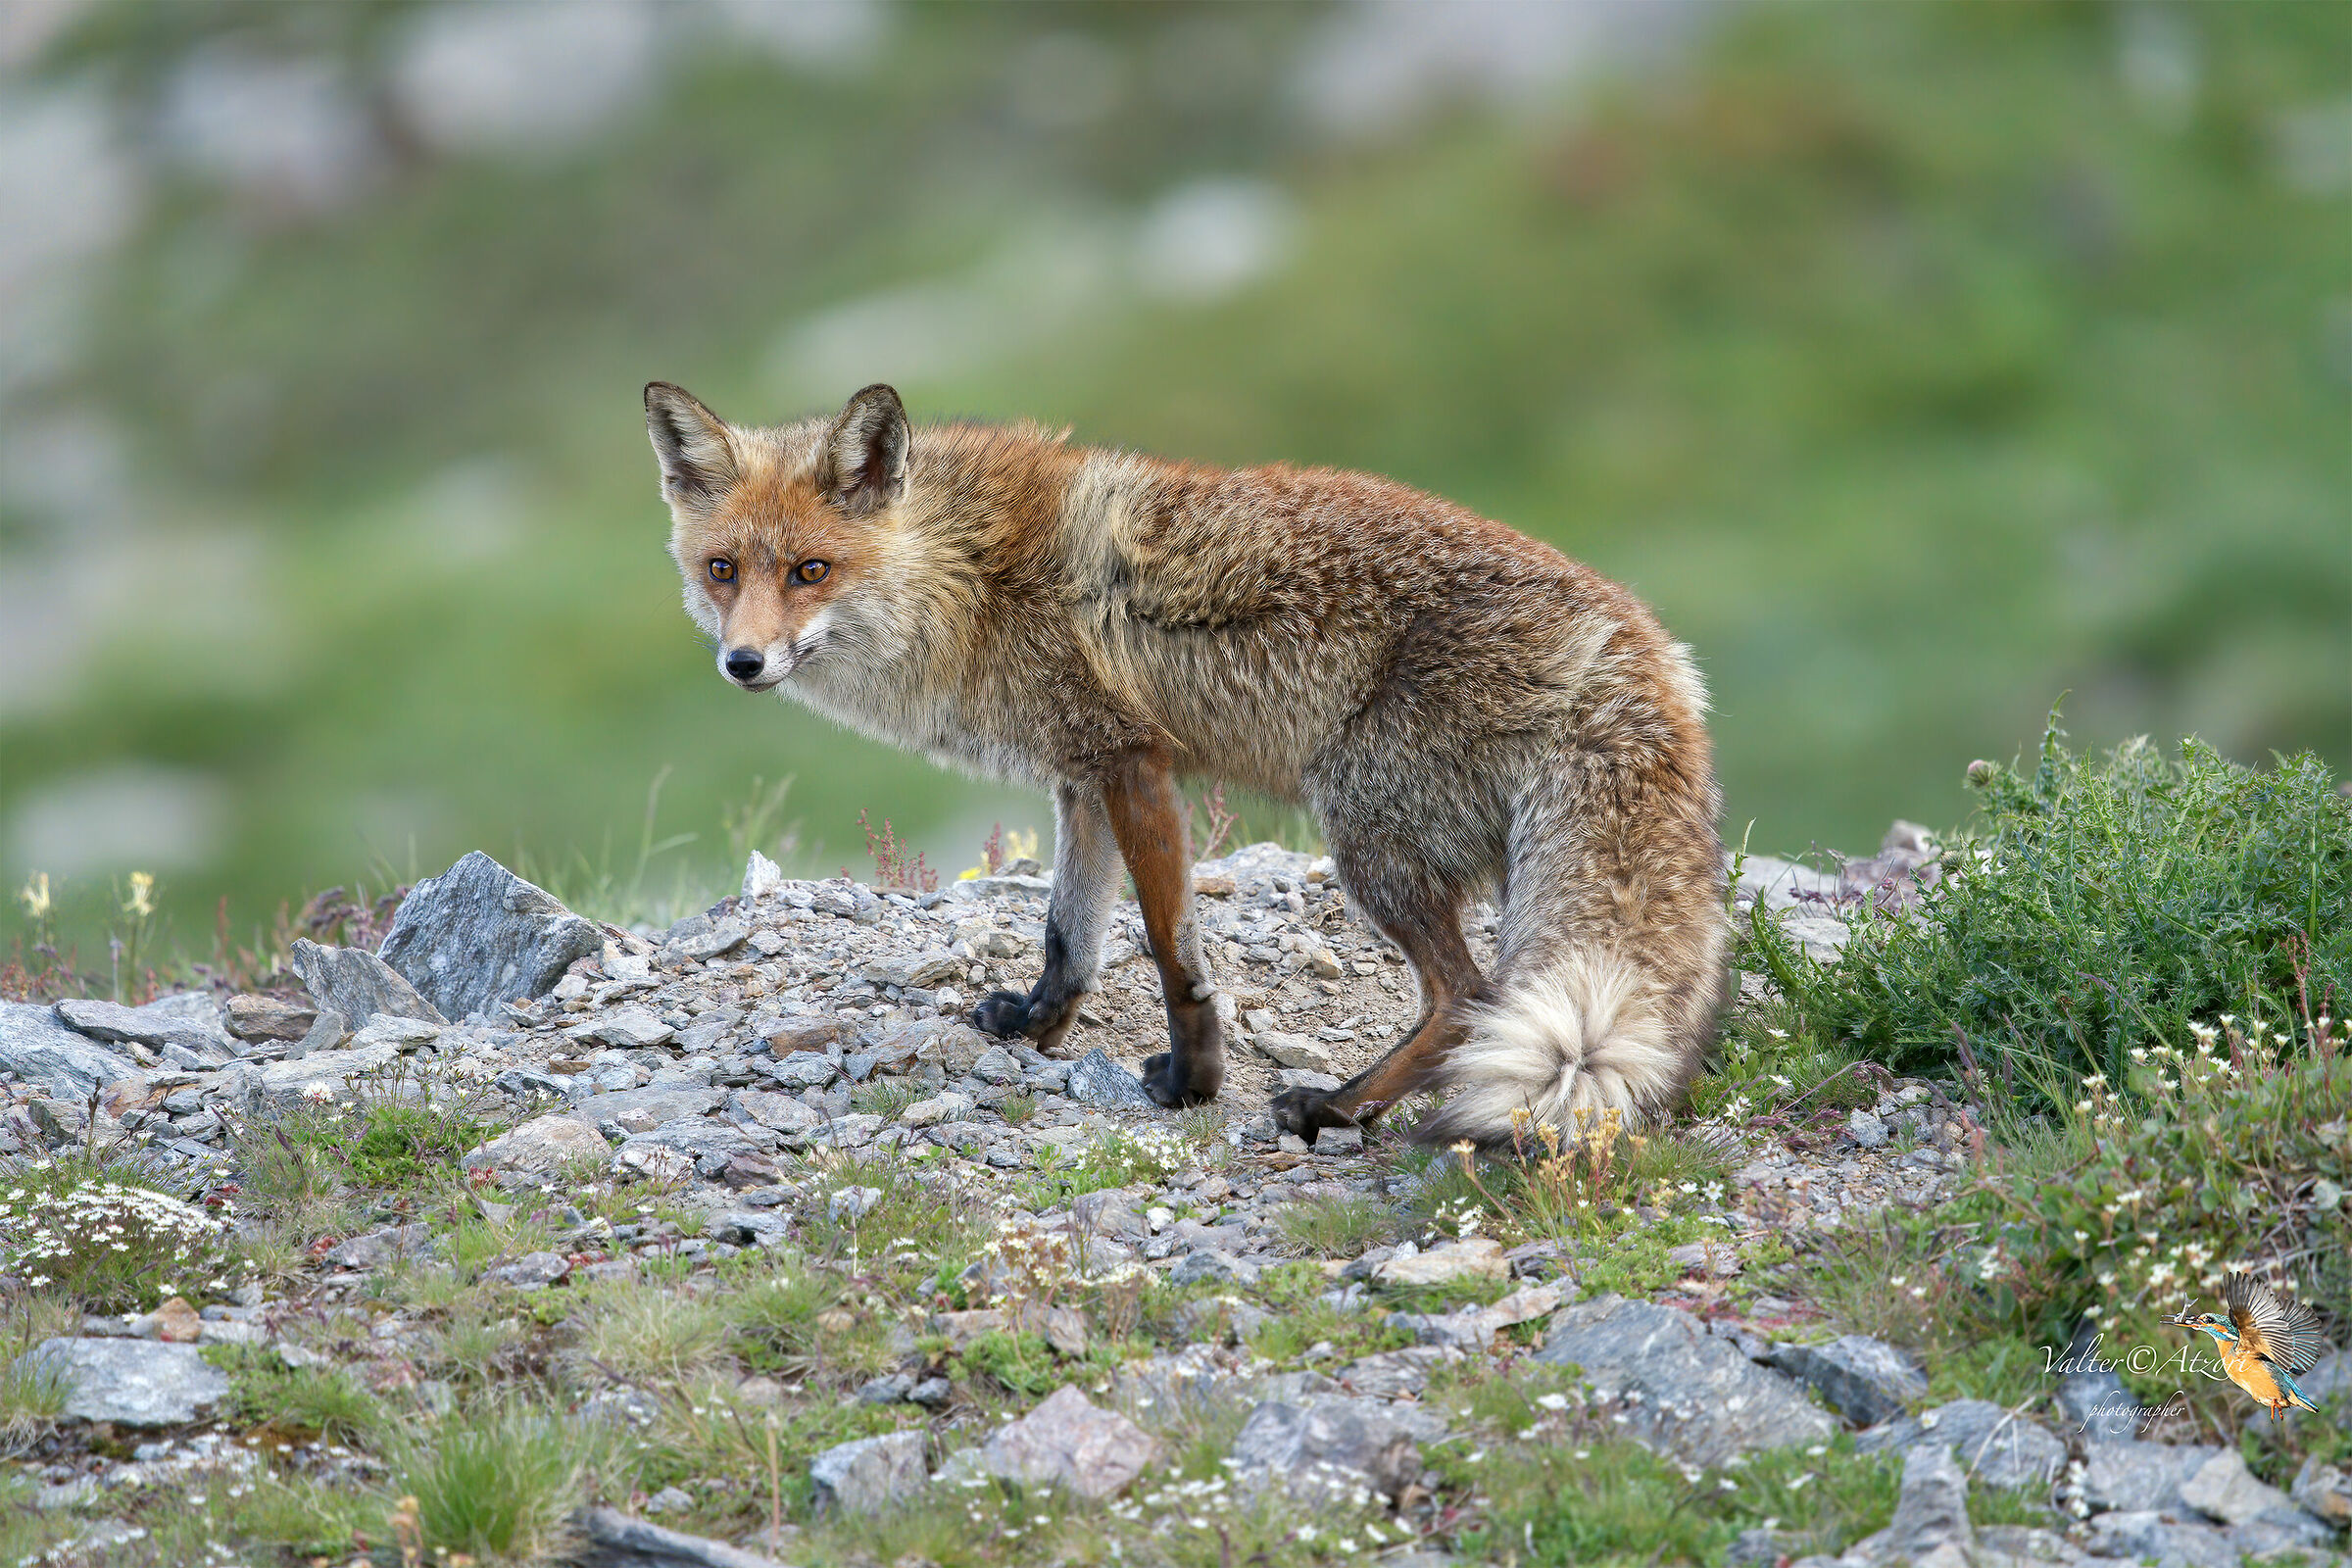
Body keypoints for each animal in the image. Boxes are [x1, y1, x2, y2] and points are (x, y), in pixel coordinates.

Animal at [644, 380, 1728, 1146]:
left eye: (811, 571)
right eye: (723, 570)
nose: (743, 662)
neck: (970, 580)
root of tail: (1638, 645)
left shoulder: (1133, 761)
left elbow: (1173, 954)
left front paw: (1191, 1080)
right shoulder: (1079, 773)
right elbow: (1068, 939)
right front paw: (1034, 1031)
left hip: (1370, 838)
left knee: (1466, 997)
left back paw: (1335, 1108)